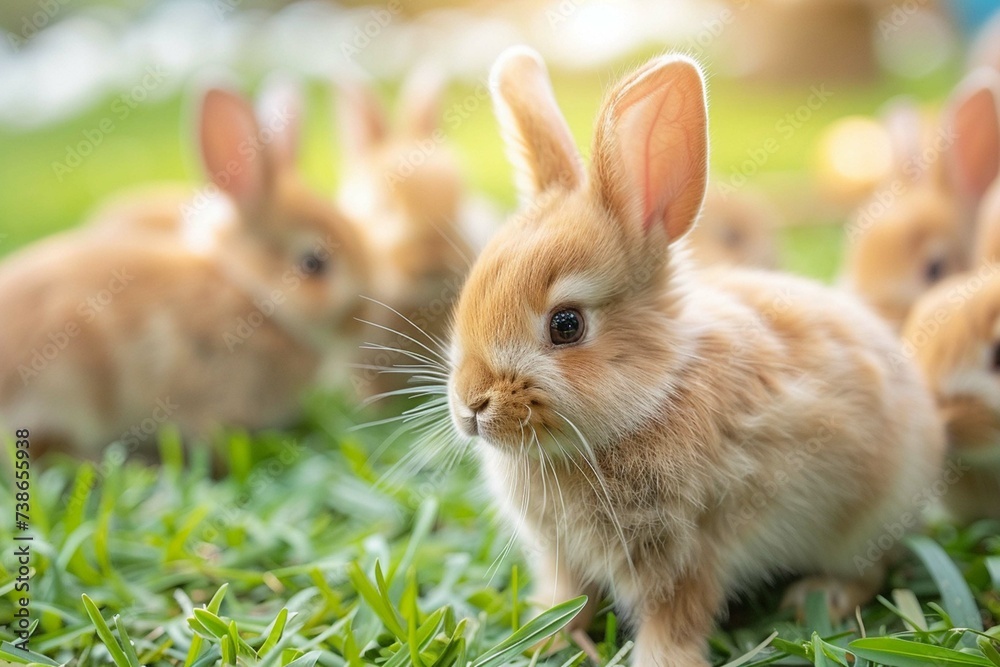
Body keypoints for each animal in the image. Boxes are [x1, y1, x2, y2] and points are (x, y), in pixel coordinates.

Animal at [443, 47, 946, 667]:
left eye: (566, 325)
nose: (470, 407)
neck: (654, 395)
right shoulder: (563, 558)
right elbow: (565, 599)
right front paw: (540, 638)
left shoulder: (687, 551)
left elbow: (674, 620)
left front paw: (660, 660)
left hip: (864, 520)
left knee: (871, 569)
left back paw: (818, 596)